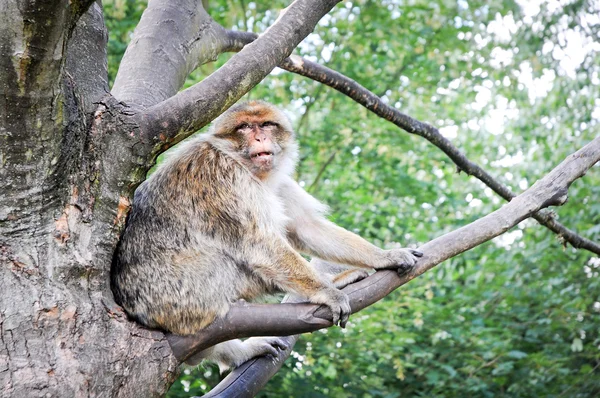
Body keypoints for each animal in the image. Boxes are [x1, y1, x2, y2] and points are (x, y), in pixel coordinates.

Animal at [112, 100, 422, 374]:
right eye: (245, 127)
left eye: (267, 125)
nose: (260, 137)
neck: (246, 168)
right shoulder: (223, 177)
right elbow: (261, 244)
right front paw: (326, 292)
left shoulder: (278, 183)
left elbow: (307, 228)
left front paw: (385, 256)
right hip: (179, 296)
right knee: (224, 266)